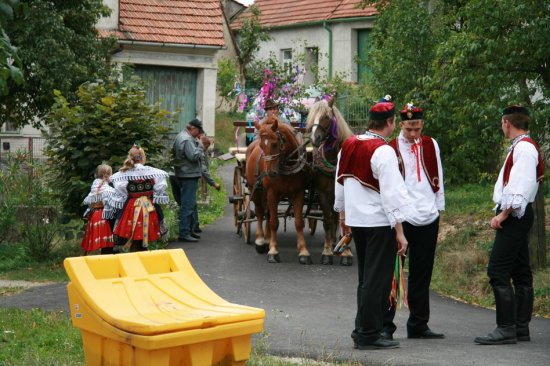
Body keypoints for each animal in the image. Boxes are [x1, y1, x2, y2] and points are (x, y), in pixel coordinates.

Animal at [245, 116, 312, 264]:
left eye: (275, 144)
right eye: (262, 146)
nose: (270, 173)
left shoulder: (298, 193)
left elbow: (299, 222)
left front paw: (303, 251)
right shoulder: (272, 193)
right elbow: (274, 222)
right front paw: (273, 251)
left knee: (268, 213)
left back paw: (267, 238)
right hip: (255, 189)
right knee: (260, 212)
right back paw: (260, 240)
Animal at [304, 98, 356, 264]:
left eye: (326, 116)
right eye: (311, 116)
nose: (314, 139)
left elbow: (345, 222)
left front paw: (346, 253)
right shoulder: (323, 193)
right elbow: (327, 220)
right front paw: (326, 252)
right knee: (333, 217)